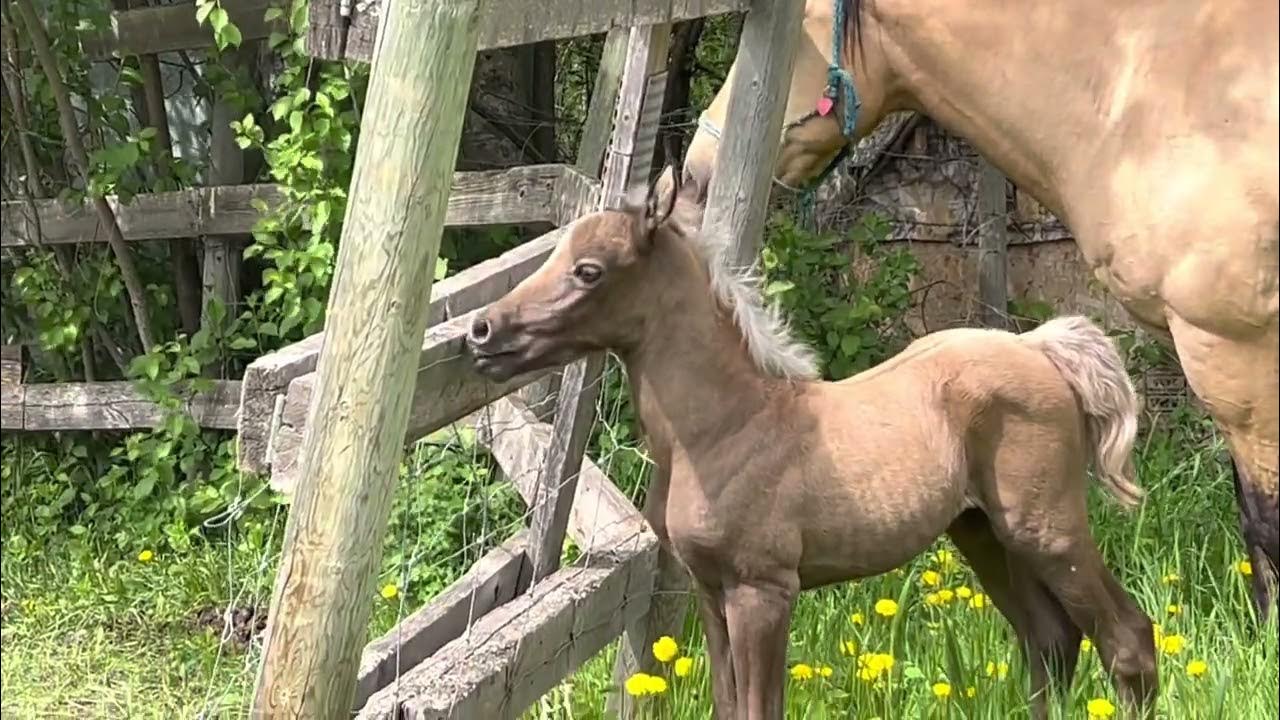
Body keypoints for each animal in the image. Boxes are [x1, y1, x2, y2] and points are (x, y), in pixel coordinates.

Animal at [466, 174, 1158, 720]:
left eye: (589, 271)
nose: (481, 331)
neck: (723, 428)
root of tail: (1040, 346)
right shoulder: (708, 589)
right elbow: (727, 705)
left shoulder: (763, 590)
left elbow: (758, 709)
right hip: (981, 530)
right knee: (1050, 639)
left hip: (1046, 529)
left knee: (1127, 639)